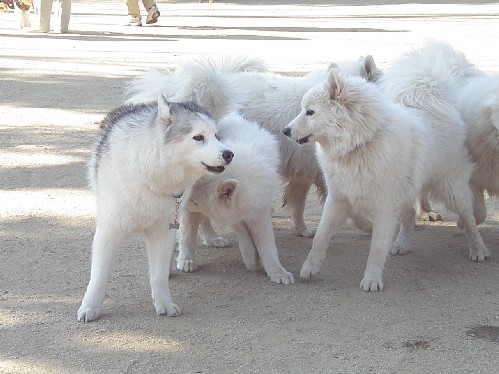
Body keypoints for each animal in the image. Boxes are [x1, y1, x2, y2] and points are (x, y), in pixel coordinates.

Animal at [77, 96, 234, 322]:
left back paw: (209, 238)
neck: (150, 175)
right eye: (198, 137)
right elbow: (99, 276)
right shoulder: (109, 231)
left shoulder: (162, 231)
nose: (229, 154)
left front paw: (164, 303)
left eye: (216, 135)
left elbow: (158, 276)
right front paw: (90, 306)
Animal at [178, 113, 294, 284]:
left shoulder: (258, 212)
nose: (178, 201)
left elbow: (267, 247)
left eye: (195, 201)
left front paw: (277, 272)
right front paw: (186, 260)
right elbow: (187, 236)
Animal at [284, 69, 490, 292]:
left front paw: (372, 279)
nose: (285, 131)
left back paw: (479, 249)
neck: (360, 144)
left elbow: (376, 248)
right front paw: (310, 267)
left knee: (469, 218)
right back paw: (402, 245)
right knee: (409, 215)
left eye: (310, 112)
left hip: (451, 189)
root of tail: (432, 102)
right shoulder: (338, 199)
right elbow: (320, 238)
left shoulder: (384, 207)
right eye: (303, 109)